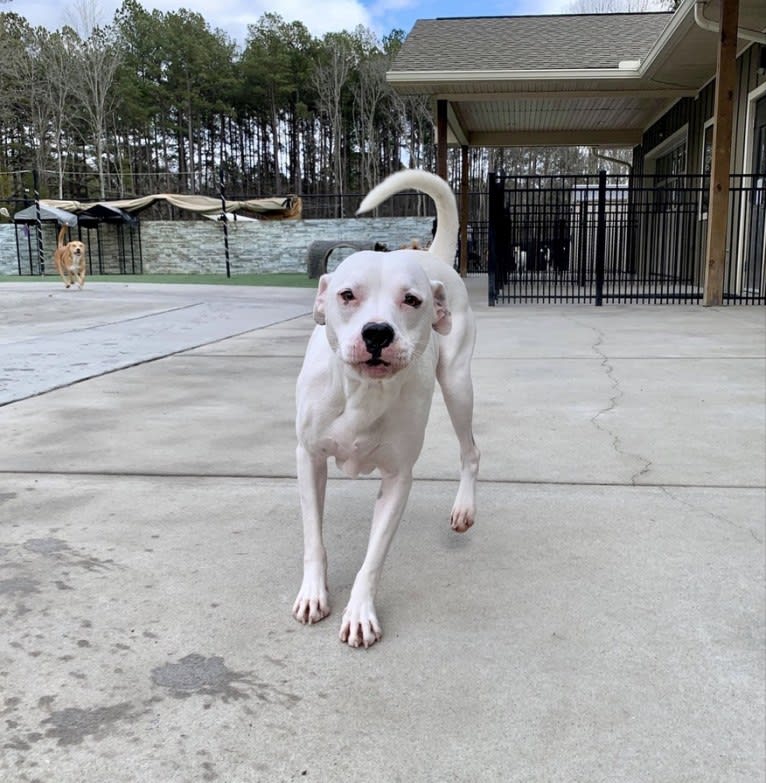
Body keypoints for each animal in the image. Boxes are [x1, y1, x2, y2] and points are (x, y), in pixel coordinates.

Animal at [294, 172, 480, 648]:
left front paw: (360, 611)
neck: (362, 392)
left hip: (458, 385)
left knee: (471, 451)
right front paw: (314, 593)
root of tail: (429, 255)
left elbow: (374, 557)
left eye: (411, 300)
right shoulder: (309, 458)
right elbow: (313, 536)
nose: (377, 332)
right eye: (346, 295)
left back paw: (464, 508)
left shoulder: (398, 478)